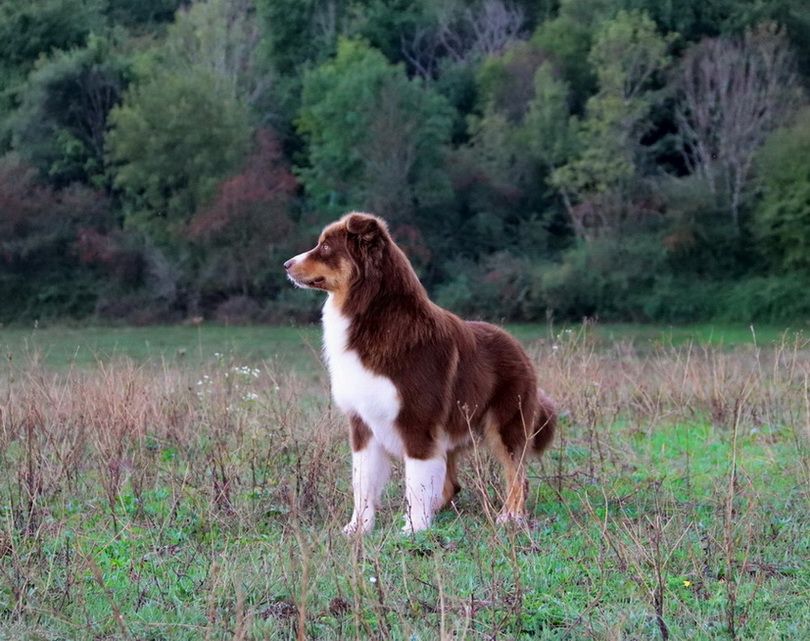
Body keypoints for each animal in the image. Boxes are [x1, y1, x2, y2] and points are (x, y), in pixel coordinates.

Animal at [284, 212, 556, 532]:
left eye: (326, 247)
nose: (286, 264)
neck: (375, 316)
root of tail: (517, 345)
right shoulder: (363, 423)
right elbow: (362, 482)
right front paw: (358, 529)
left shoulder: (417, 421)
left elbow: (416, 481)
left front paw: (414, 529)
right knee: (452, 484)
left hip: (505, 425)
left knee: (517, 475)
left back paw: (509, 516)